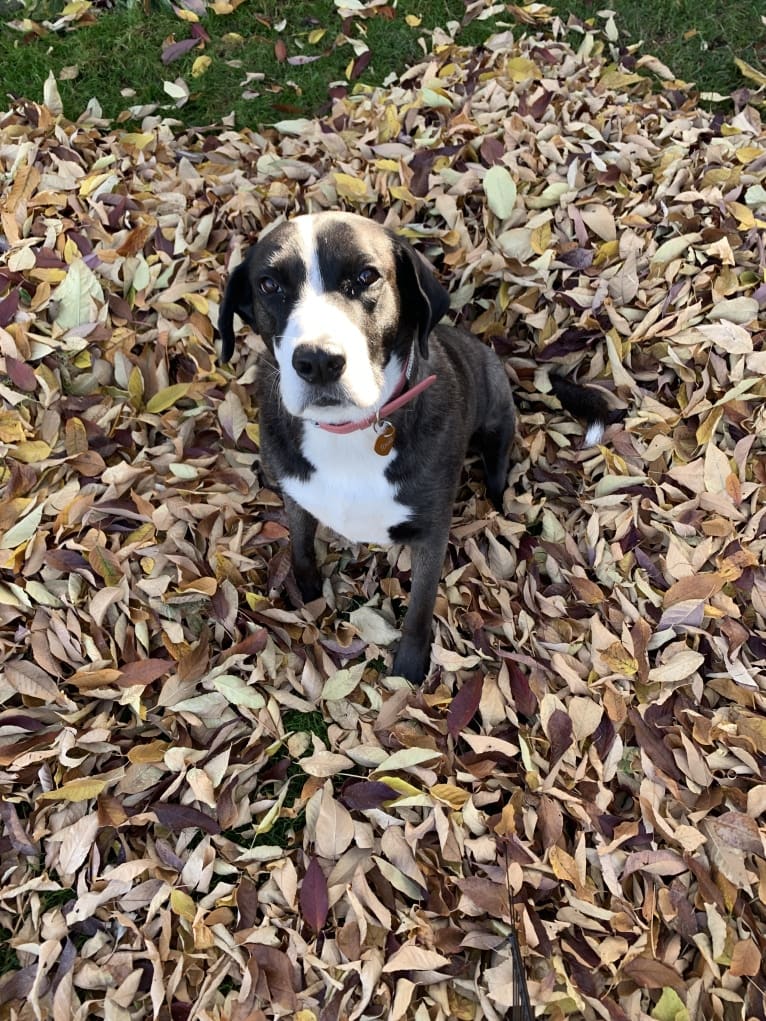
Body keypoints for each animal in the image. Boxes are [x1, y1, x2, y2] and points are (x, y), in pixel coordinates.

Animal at [218, 211, 608, 682]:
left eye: (366, 276)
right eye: (269, 284)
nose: (319, 362)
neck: (348, 431)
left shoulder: (431, 533)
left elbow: (420, 609)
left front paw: (408, 668)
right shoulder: (297, 493)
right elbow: (300, 547)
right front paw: (307, 590)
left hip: (496, 415)